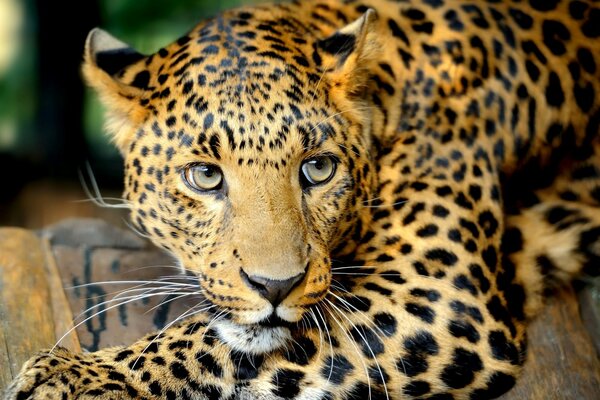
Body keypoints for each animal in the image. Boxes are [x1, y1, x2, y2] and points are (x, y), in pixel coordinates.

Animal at [4, 0, 600, 398]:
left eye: (317, 168)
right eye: (204, 176)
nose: (276, 286)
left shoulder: (443, 296)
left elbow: (219, 341)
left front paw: (86, 374)